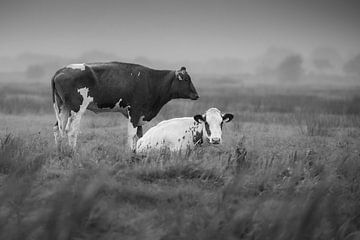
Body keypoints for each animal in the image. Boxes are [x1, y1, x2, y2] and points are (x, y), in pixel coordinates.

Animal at [51, 62, 198, 151]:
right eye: (186, 79)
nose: (196, 95)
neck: (152, 82)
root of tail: (61, 70)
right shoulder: (135, 111)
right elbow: (131, 134)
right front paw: (130, 152)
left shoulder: (139, 115)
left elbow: (139, 135)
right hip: (77, 108)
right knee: (71, 130)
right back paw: (73, 153)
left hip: (63, 107)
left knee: (58, 129)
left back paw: (60, 152)